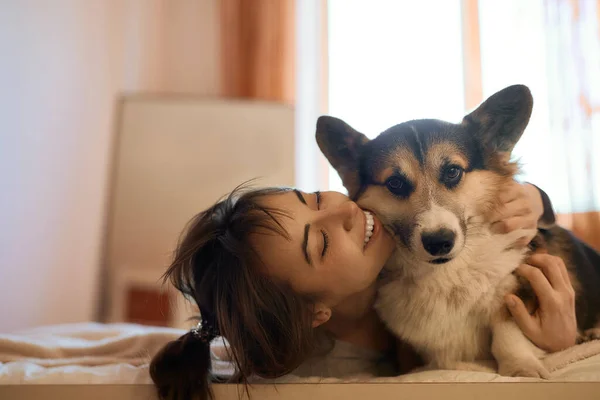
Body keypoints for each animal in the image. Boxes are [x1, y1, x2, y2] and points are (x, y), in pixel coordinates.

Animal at [316, 84, 600, 378]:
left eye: (452, 171)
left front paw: (520, 368)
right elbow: (437, 362)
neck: (447, 273)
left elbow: (507, 332)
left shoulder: (517, 288)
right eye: (395, 183)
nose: (439, 242)